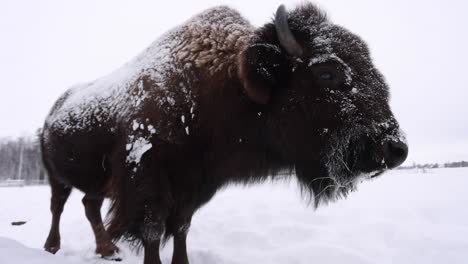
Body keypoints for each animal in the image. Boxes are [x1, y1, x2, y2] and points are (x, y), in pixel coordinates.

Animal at [41, 3, 406, 264]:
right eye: (328, 73)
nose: (395, 148)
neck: (224, 84)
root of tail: (52, 113)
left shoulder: (195, 185)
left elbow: (181, 228)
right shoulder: (147, 179)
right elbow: (153, 231)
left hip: (95, 181)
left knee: (89, 205)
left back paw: (107, 250)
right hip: (55, 175)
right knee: (58, 206)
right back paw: (52, 247)